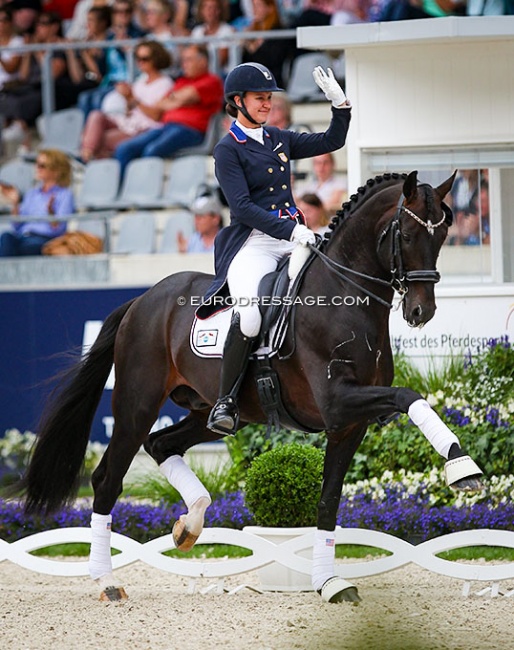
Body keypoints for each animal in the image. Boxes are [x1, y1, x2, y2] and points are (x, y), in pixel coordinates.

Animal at [16, 170, 480, 600]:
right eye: (407, 233)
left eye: (444, 235)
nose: (421, 312)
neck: (342, 295)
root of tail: (142, 300)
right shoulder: (338, 402)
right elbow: (410, 396)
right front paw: (462, 466)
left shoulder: (348, 424)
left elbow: (328, 500)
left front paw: (328, 582)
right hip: (136, 406)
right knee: (108, 478)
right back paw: (107, 580)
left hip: (209, 411)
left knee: (163, 444)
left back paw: (190, 524)